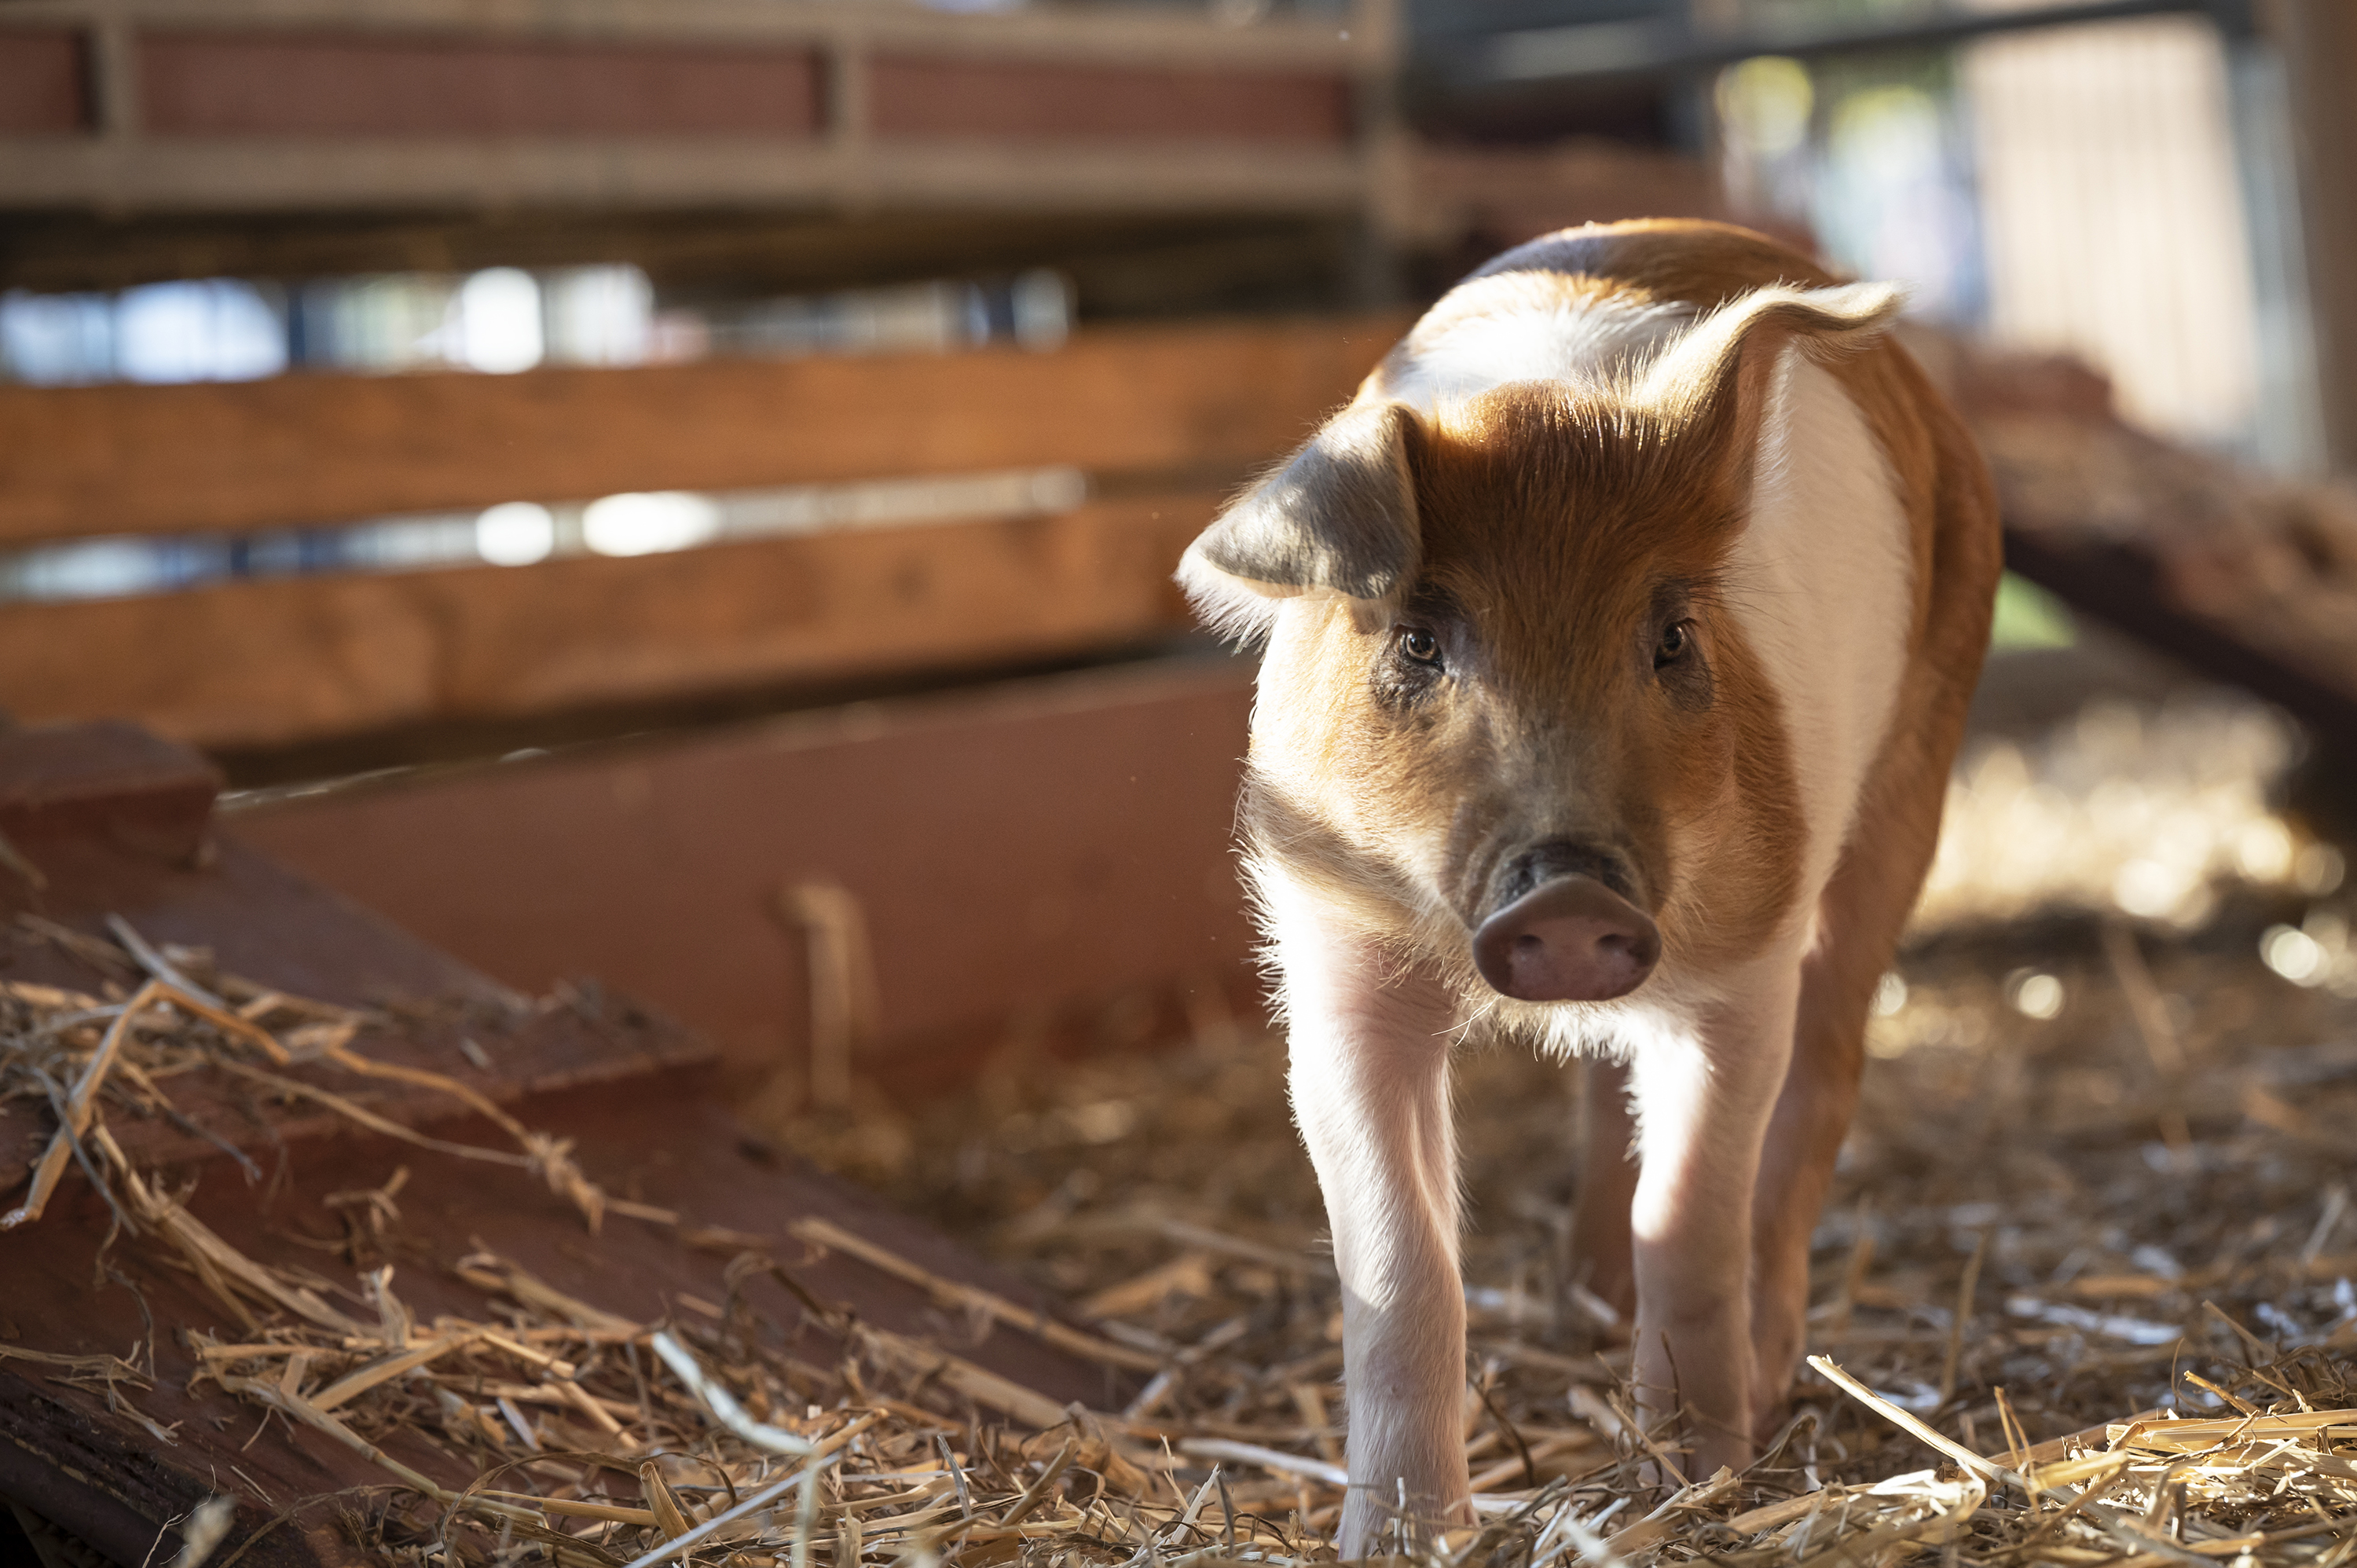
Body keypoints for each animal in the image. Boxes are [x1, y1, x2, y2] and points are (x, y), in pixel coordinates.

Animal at [1169, 220, 1999, 1555]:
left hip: (1910, 786)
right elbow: (1398, 1262)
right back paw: (1582, 1306)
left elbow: (1695, 1216)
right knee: (1612, 1107)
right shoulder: (1332, 945)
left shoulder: (1743, 958)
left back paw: (1766, 1371)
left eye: (1672, 638)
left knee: (1819, 1087)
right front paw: (1401, 1542)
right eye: (1418, 640)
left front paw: (1697, 1482)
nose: (1569, 900)